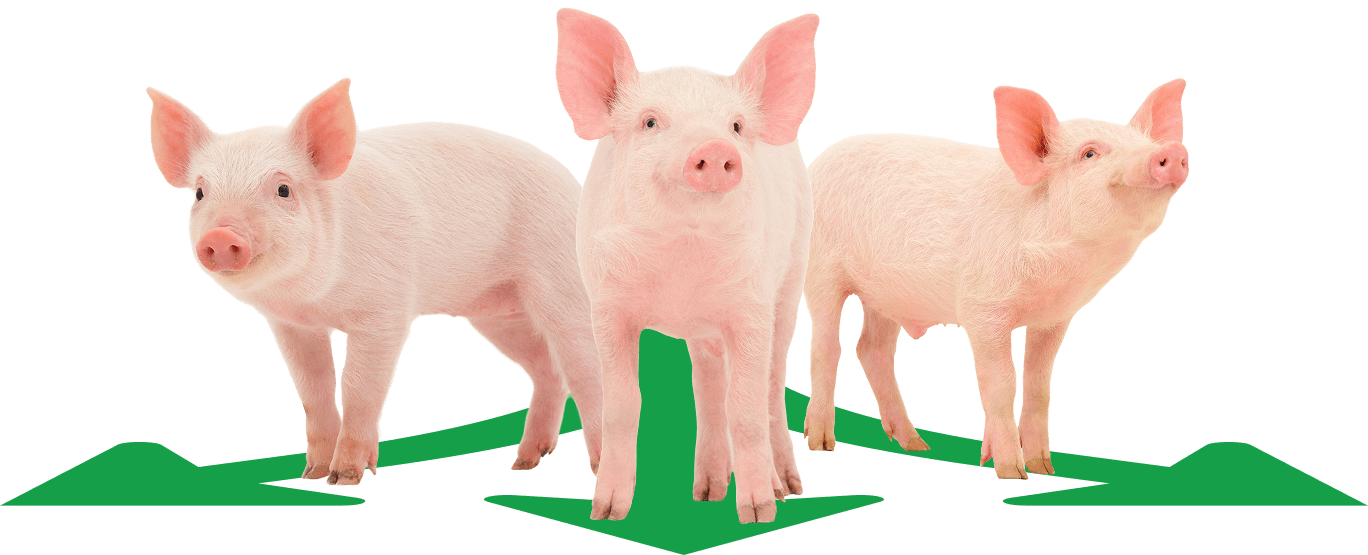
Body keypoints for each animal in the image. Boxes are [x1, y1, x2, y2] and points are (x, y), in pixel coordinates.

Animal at [145, 78, 603, 485]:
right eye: (200, 194)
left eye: (283, 189)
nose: (221, 235)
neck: (313, 299)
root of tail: (572, 182)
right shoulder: (291, 324)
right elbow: (312, 387)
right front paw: (311, 474)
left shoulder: (385, 313)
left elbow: (359, 387)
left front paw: (344, 478)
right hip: (497, 312)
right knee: (548, 370)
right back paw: (524, 463)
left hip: (562, 282)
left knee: (585, 372)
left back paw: (594, 469)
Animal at [553, 8, 819, 523]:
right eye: (650, 122)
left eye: (736, 126)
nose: (714, 149)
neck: (682, 258)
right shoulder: (607, 308)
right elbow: (622, 406)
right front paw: (606, 512)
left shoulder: (751, 307)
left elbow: (746, 408)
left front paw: (758, 513)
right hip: (706, 335)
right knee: (709, 385)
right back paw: (707, 492)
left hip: (791, 281)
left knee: (771, 386)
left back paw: (787, 489)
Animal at [802, 79, 1190, 480]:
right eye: (1089, 153)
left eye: (1143, 142)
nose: (1171, 152)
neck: (1059, 274)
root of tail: (815, 163)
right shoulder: (983, 309)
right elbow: (1001, 383)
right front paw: (1011, 472)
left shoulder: (1055, 317)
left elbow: (1038, 385)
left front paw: (1041, 468)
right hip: (819, 272)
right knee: (826, 346)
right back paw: (821, 443)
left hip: (887, 296)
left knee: (872, 350)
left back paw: (916, 444)